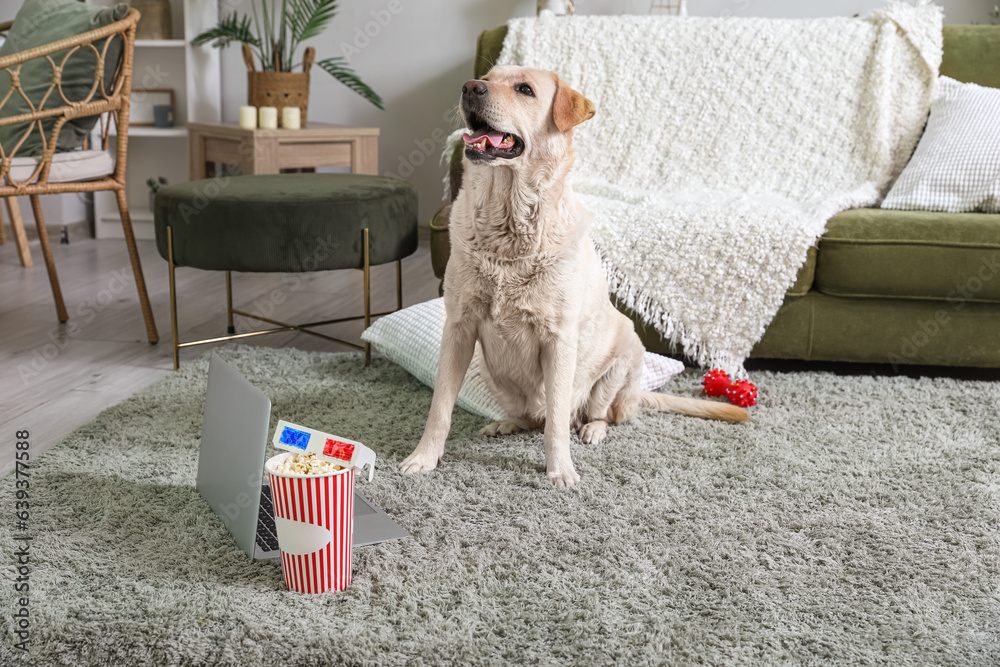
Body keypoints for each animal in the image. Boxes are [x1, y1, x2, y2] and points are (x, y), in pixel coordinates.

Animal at [400, 65, 752, 488]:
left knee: (593, 414)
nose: (470, 87)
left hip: (621, 360)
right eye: (487, 76)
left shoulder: (559, 338)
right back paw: (507, 423)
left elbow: (556, 421)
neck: (508, 224)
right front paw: (423, 458)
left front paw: (560, 470)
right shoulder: (458, 327)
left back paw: (592, 430)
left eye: (525, 90)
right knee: (531, 417)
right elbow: (439, 408)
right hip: (490, 369)